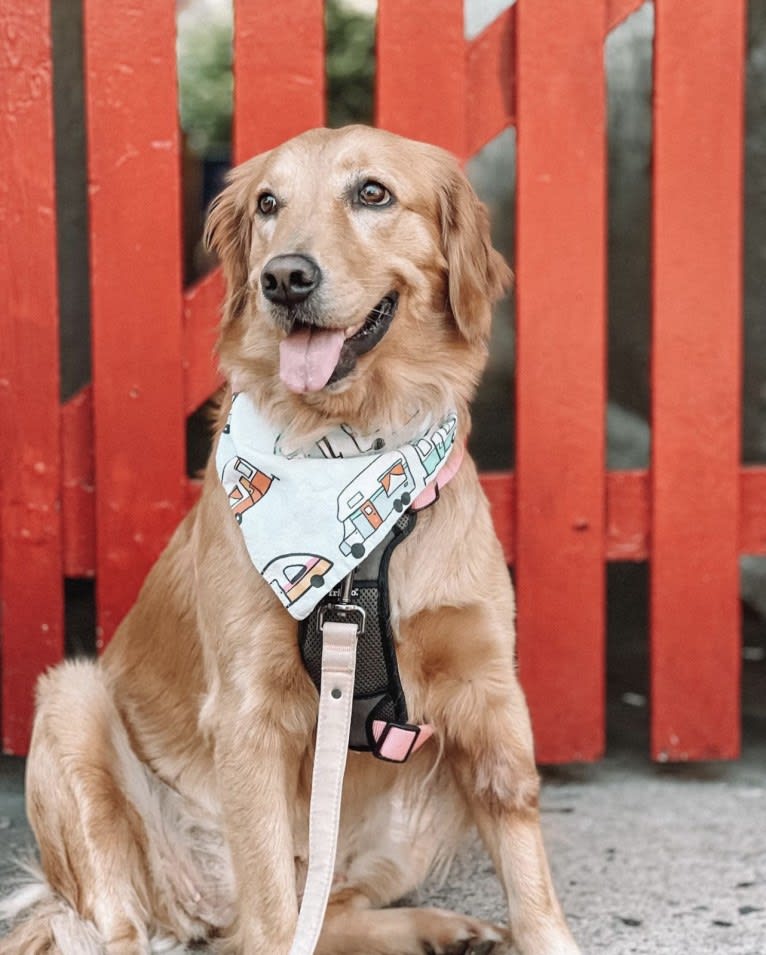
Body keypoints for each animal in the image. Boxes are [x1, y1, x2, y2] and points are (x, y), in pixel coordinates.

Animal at [0, 129, 584, 955]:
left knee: (331, 910)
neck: (348, 448)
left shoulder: (489, 691)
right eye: (268, 203)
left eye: (372, 193)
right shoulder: (248, 713)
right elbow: (277, 908)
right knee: (149, 925)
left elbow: (527, 862)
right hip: (72, 702)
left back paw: (441, 927)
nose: (283, 278)